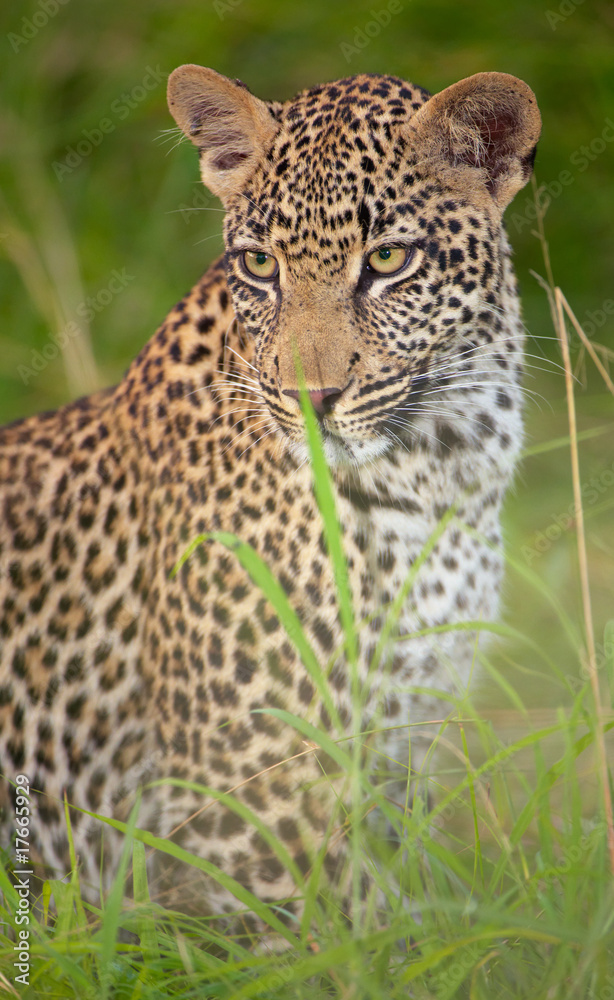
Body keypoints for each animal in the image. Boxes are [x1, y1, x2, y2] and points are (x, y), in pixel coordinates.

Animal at [0, 65, 541, 933]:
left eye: (388, 258)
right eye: (259, 265)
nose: (310, 398)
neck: (440, 468)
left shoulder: (406, 737)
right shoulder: (251, 809)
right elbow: (349, 935)